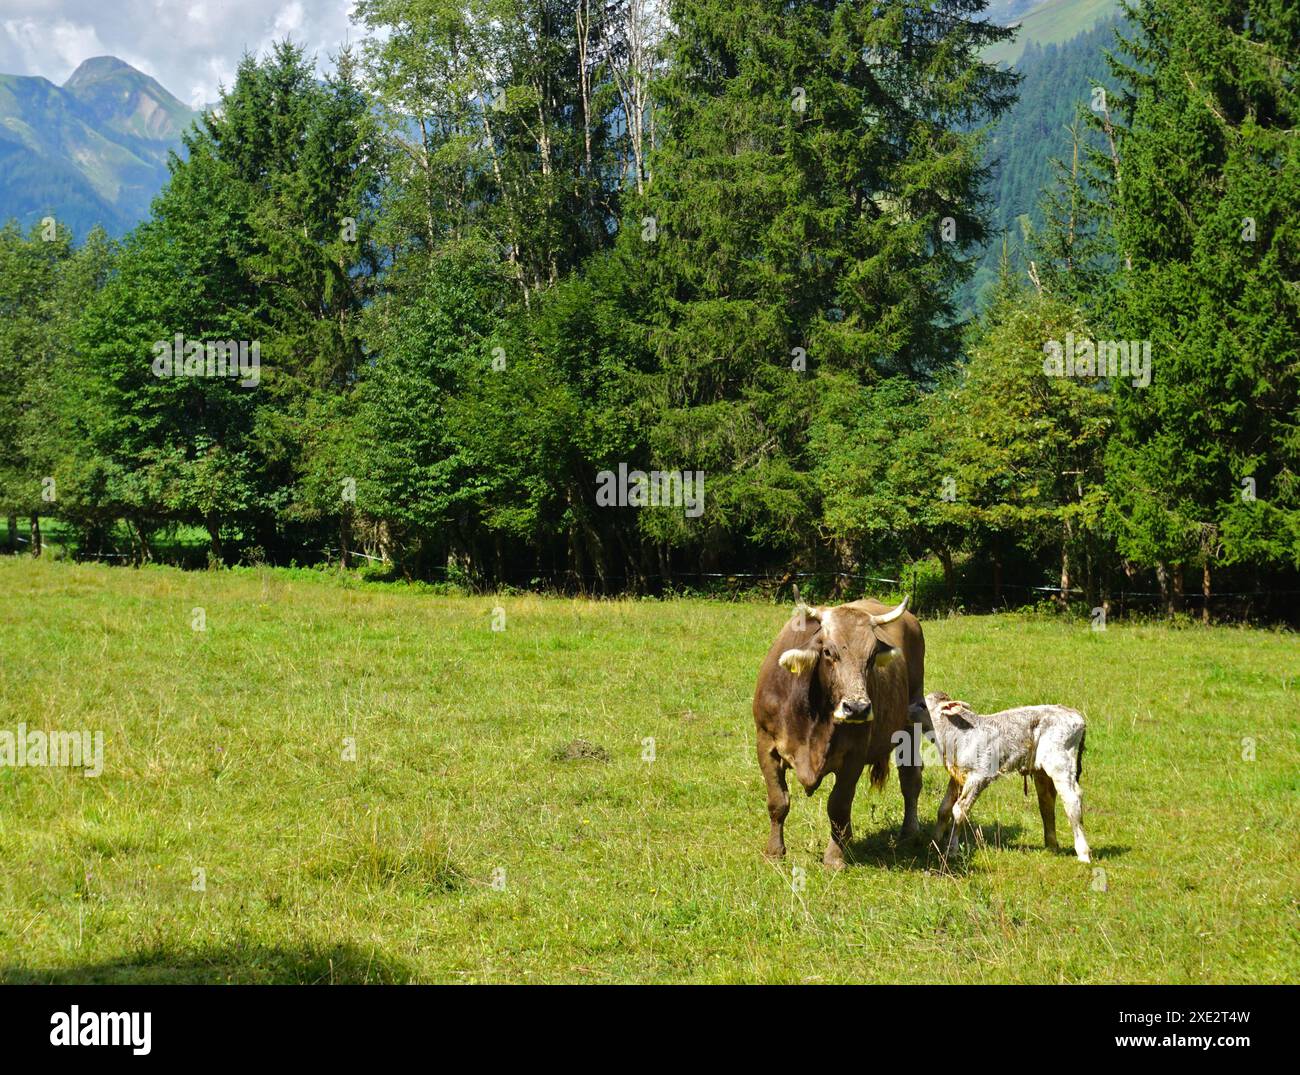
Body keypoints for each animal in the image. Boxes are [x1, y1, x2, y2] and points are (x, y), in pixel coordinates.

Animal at [754, 592, 925, 868]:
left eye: (872, 656)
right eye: (828, 651)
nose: (857, 708)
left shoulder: (853, 756)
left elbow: (838, 806)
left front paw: (834, 858)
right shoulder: (765, 744)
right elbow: (778, 801)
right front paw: (774, 852)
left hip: (912, 725)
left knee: (910, 779)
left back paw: (909, 831)